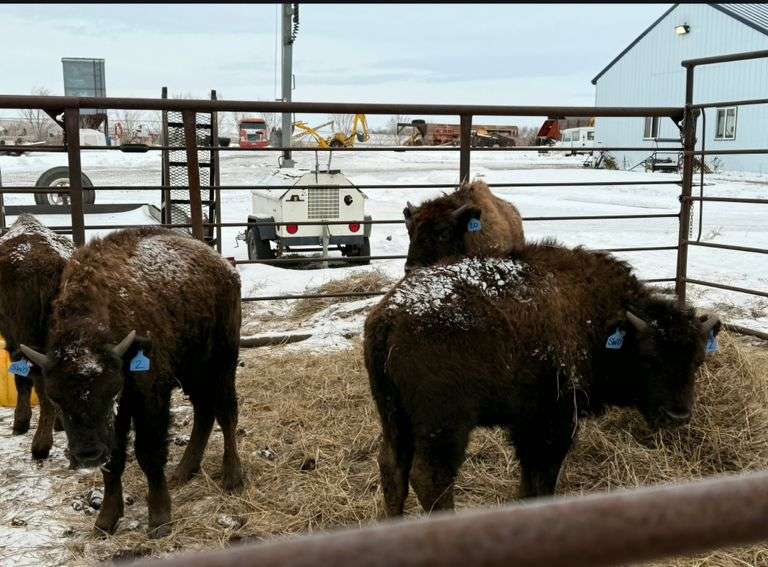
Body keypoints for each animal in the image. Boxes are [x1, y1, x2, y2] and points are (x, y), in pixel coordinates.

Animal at [21, 228, 244, 538]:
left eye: (112, 391)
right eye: (56, 398)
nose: (88, 454)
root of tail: (224, 266)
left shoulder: (149, 397)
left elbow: (148, 454)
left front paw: (160, 520)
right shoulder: (118, 420)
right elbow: (114, 461)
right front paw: (105, 521)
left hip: (222, 361)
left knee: (225, 413)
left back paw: (232, 477)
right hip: (192, 370)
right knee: (204, 412)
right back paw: (183, 471)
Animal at [364, 240, 720, 516]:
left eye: (698, 360)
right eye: (650, 359)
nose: (677, 415)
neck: (600, 318)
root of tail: (391, 315)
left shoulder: (528, 423)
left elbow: (529, 475)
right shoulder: (555, 422)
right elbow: (543, 474)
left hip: (393, 416)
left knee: (393, 469)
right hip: (445, 425)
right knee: (431, 478)